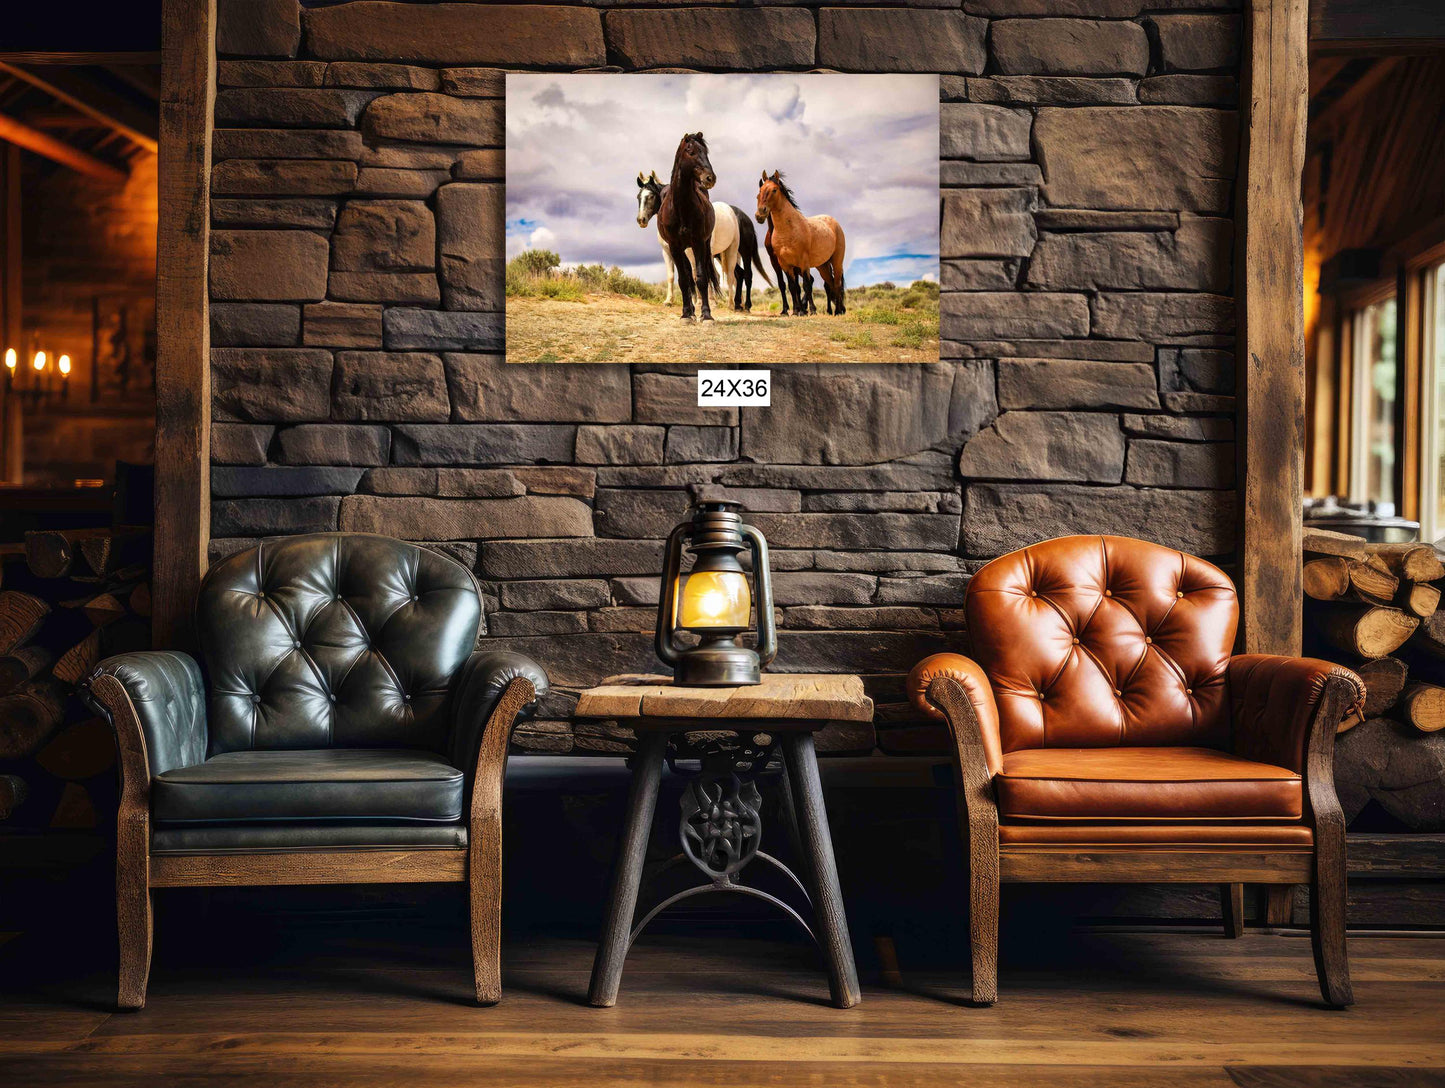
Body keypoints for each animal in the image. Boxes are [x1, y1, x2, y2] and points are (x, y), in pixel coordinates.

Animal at [757, 169, 843, 313]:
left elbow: (806, 285)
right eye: (760, 190)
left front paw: (811, 310)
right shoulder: (783, 262)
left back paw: (838, 310)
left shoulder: (803, 261)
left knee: (836, 283)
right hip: (823, 265)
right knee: (829, 283)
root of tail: (833, 221)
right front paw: (796, 311)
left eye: (774, 190)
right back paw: (835, 310)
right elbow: (791, 286)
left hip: (836, 260)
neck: (787, 230)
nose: (759, 214)